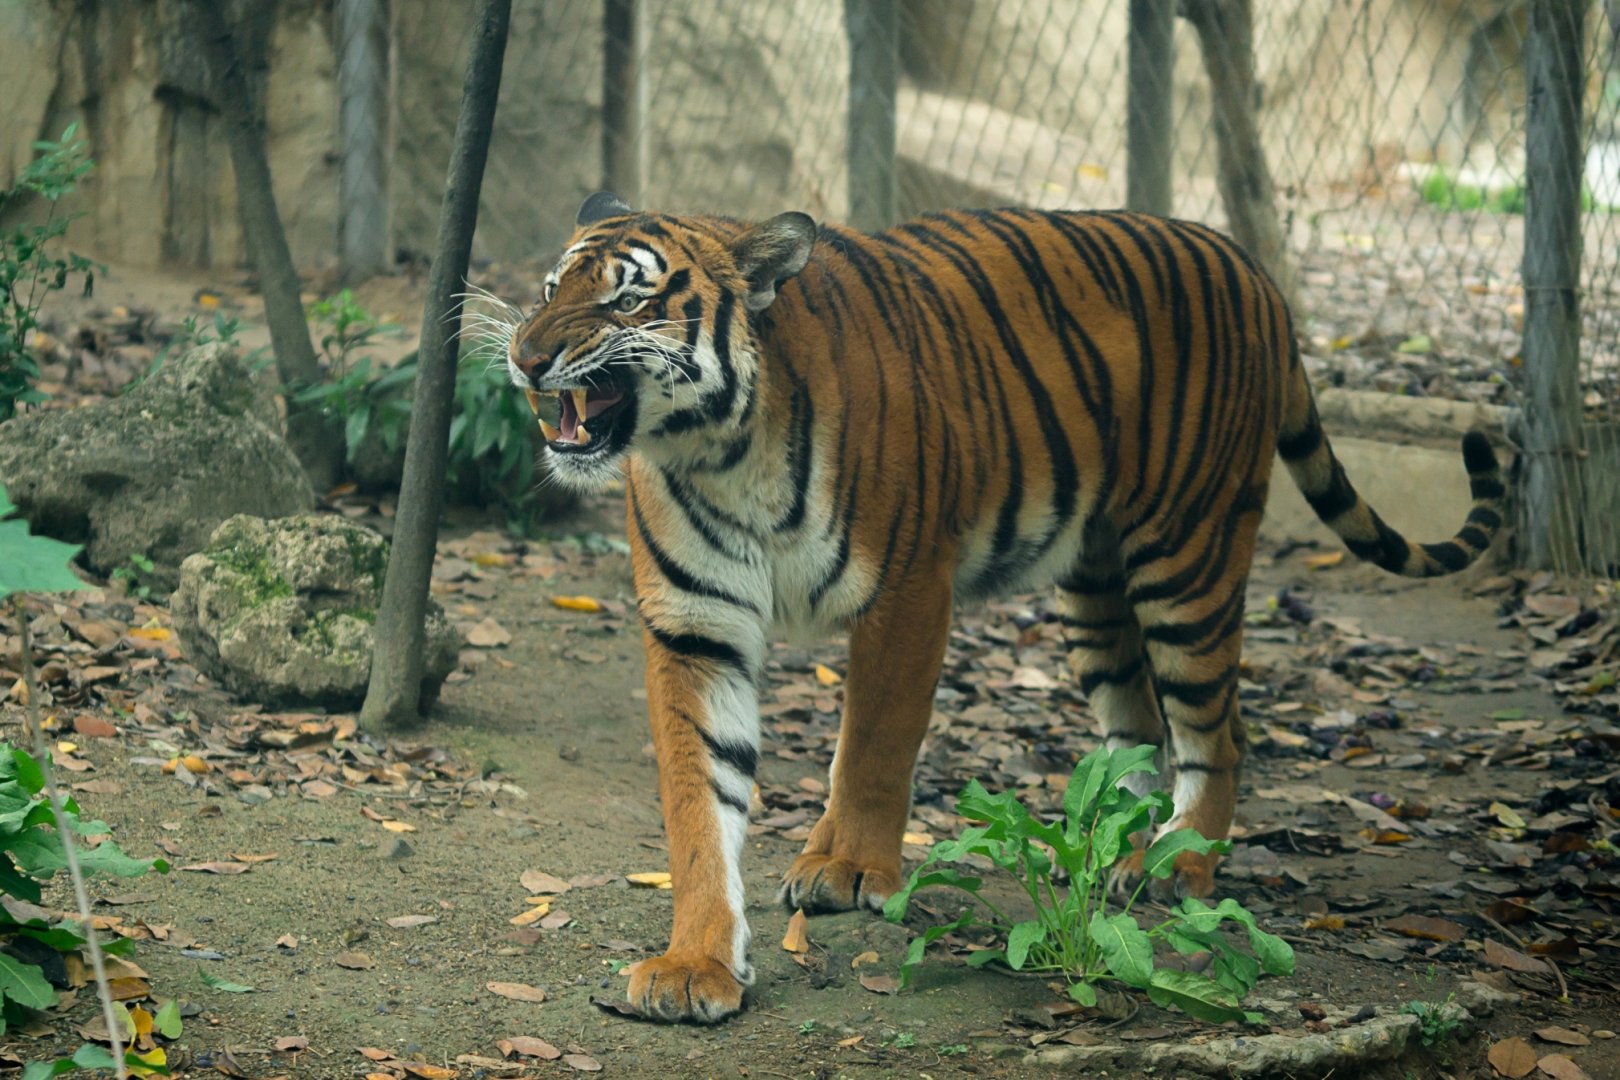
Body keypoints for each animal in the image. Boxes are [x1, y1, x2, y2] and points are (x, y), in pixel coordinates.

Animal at [503, 191, 1505, 1023]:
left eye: (627, 302)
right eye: (550, 289)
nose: (525, 356)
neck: (715, 449)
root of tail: (1252, 269)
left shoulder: (907, 586)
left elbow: (873, 748)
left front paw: (850, 869)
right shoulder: (695, 628)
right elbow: (698, 805)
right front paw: (696, 965)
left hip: (1190, 556)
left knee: (1218, 731)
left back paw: (1180, 862)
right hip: (1097, 592)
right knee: (1138, 730)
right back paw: (1114, 858)